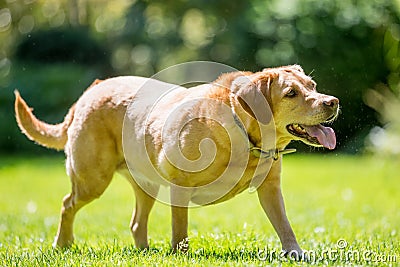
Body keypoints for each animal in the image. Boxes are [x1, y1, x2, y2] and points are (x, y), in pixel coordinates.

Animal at [14, 65, 338, 258]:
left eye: (313, 85)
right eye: (291, 93)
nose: (332, 101)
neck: (245, 133)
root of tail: (89, 92)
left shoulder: (270, 188)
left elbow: (284, 224)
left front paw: (295, 252)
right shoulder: (180, 186)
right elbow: (180, 228)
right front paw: (181, 256)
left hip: (145, 187)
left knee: (136, 222)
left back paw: (144, 253)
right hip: (92, 179)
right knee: (67, 204)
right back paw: (63, 244)